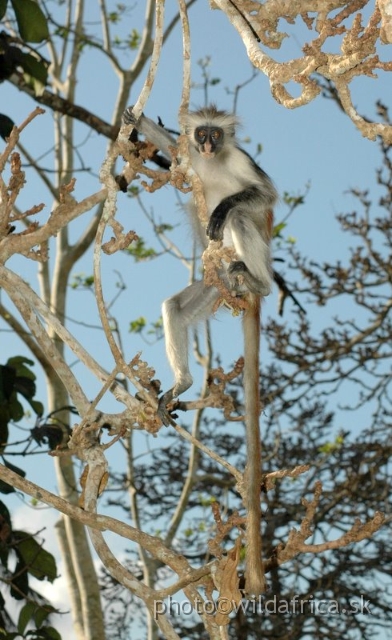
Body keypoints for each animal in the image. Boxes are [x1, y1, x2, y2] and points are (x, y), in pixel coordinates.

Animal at [123, 105, 278, 596]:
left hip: (243, 261)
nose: (208, 145)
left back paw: (259, 280)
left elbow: (264, 195)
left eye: (216, 135)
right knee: (174, 307)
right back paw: (180, 385)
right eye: (202, 134)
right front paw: (139, 123)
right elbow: (172, 149)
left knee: (243, 219)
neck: (210, 162)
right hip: (212, 287)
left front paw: (225, 206)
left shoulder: (241, 161)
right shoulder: (187, 157)